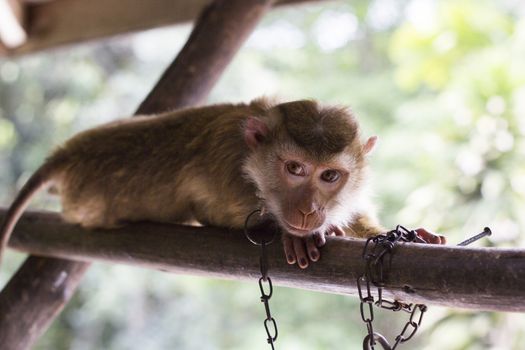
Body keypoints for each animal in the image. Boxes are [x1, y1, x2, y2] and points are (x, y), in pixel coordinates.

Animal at [0, 98, 444, 270]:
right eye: (295, 168)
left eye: (330, 175)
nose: (308, 210)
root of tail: (67, 153)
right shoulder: (227, 173)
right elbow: (210, 215)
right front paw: (297, 235)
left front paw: (401, 233)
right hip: (86, 203)